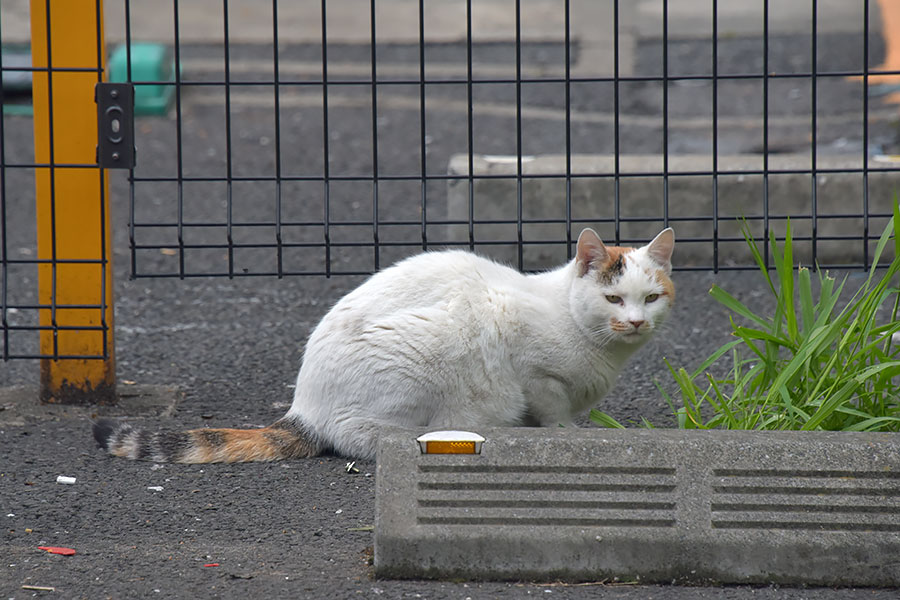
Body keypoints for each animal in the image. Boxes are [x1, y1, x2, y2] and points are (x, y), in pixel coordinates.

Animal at [95, 227, 672, 462]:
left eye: (651, 297)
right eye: (614, 298)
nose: (635, 322)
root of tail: (303, 407)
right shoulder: (531, 368)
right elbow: (553, 413)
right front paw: (564, 436)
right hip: (427, 344)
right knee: (358, 437)